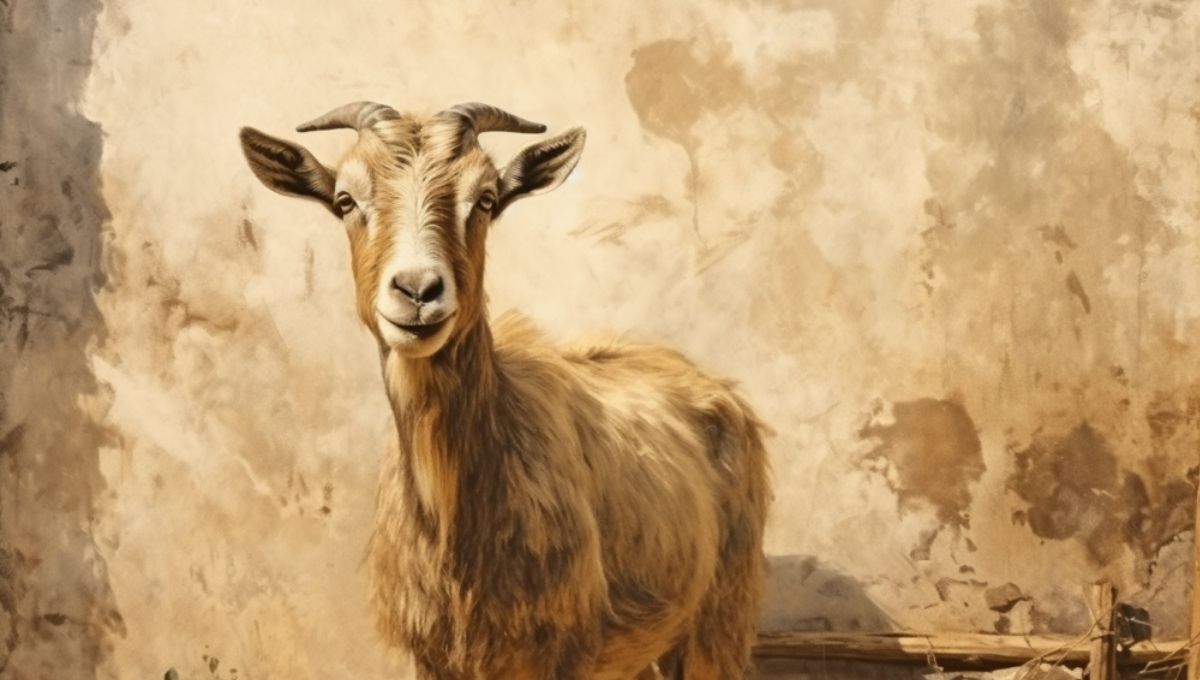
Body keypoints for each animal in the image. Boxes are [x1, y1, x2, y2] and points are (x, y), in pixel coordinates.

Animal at [239, 101, 770, 679]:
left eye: (487, 199)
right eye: (345, 200)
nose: (418, 291)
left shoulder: (562, 653)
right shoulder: (434, 656)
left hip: (718, 617)